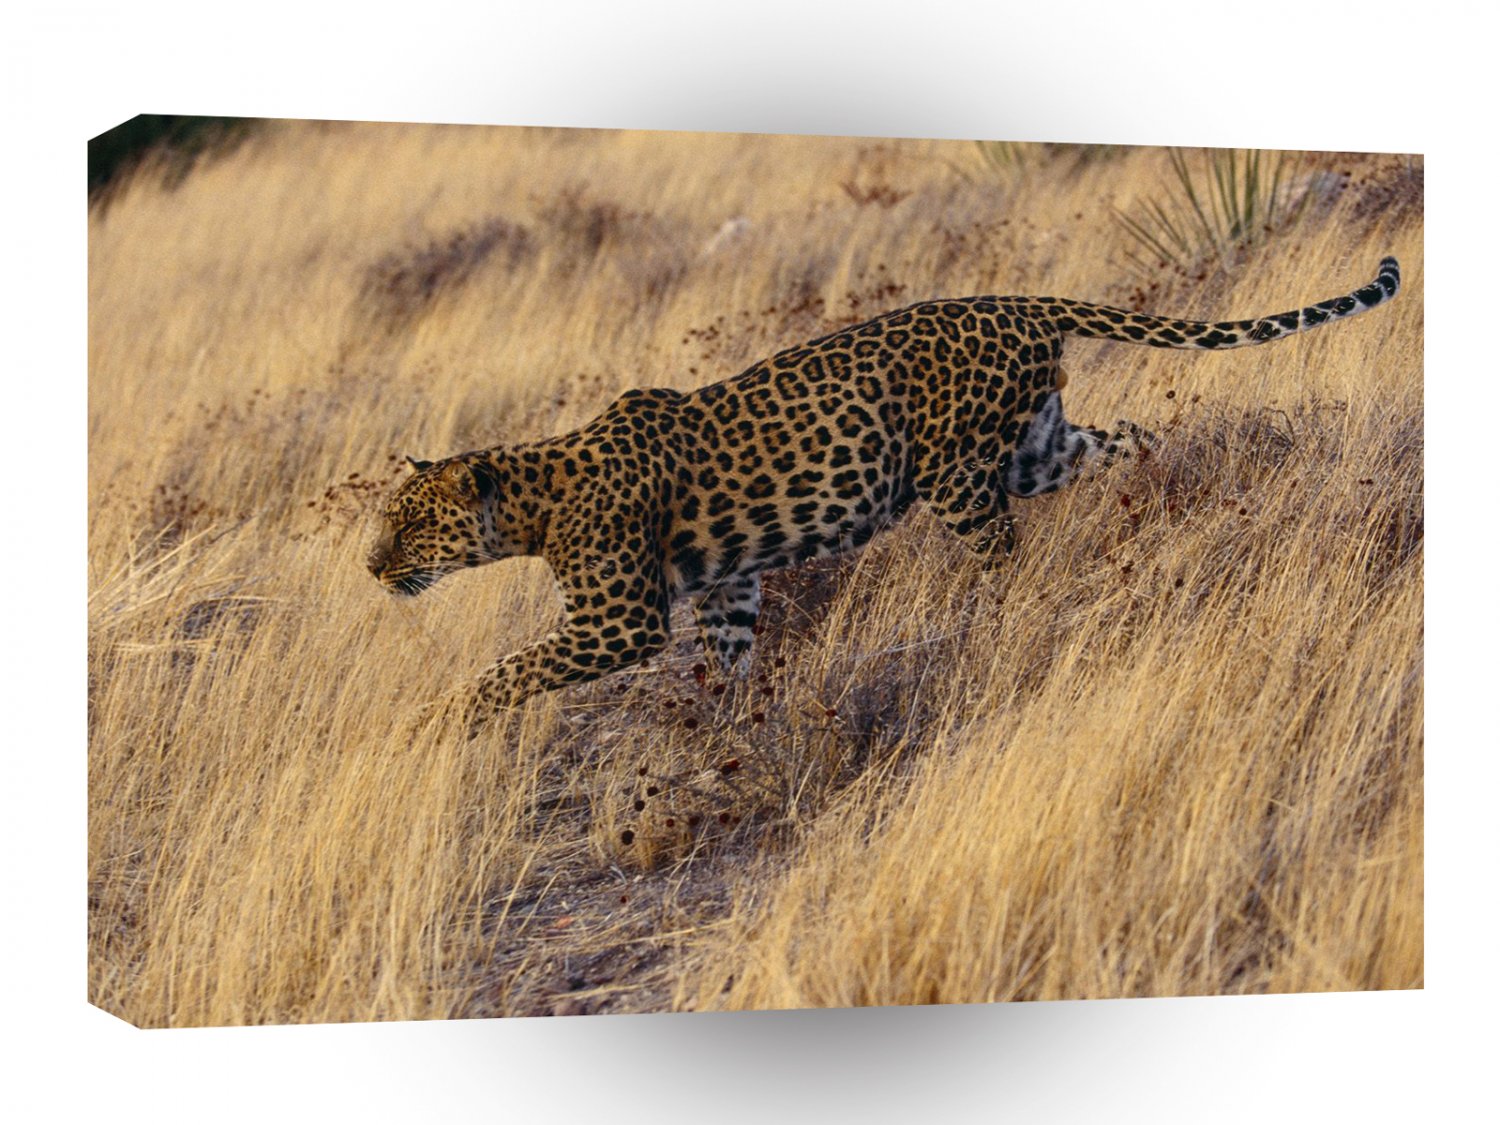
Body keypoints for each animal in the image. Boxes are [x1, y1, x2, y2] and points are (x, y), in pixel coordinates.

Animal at [368, 256, 1400, 728]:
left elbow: (511, 669)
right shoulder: (725, 586)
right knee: (1132, 440)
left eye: (409, 527)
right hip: (1037, 448)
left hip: (956, 475)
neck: (533, 503)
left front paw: (438, 722)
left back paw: (996, 623)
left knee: (1001, 557)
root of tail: (1021, 300)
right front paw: (728, 727)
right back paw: (1171, 497)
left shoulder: (617, 622)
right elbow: (728, 658)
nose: (373, 569)